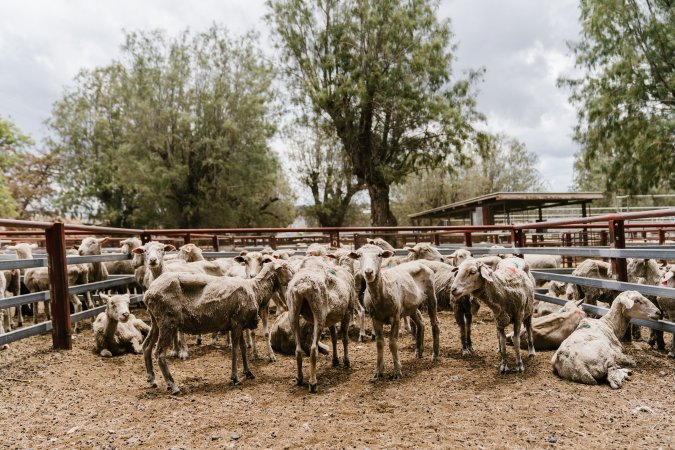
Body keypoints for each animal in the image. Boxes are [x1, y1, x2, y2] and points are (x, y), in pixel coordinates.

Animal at [143, 260, 294, 394]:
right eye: (285, 267)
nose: (294, 280)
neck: (255, 289)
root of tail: (148, 292)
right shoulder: (236, 323)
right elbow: (235, 350)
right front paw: (235, 378)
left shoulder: (240, 324)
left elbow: (243, 348)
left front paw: (248, 372)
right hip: (167, 322)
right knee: (159, 352)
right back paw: (173, 386)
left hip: (156, 321)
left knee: (146, 347)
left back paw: (152, 379)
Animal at [288, 256, 356, 394]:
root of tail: (303, 286)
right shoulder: (347, 311)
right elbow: (345, 338)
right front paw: (346, 361)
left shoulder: (331, 318)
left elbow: (334, 338)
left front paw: (335, 360)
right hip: (319, 312)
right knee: (313, 349)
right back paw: (313, 383)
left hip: (293, 311)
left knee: (298, 350)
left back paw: (299, 378)